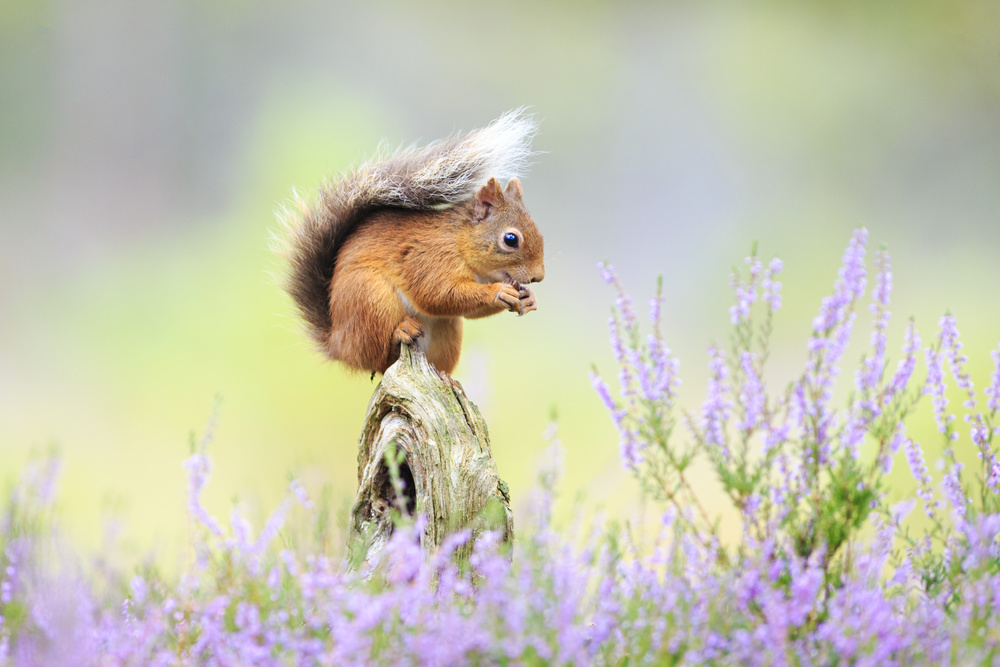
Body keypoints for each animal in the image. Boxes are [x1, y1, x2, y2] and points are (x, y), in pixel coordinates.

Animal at [280, 110, 545, 376]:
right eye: (511, 240)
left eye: (541, 235)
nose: (538, 277)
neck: (459, 242)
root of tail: (338, 344)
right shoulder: (429, 257)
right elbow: (437, 293)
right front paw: (498, 291)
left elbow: (467, 311)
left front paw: (528, 297)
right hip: (369, 298)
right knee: (378, 355)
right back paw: (401, 330)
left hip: (446, 331)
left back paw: (449, 379)